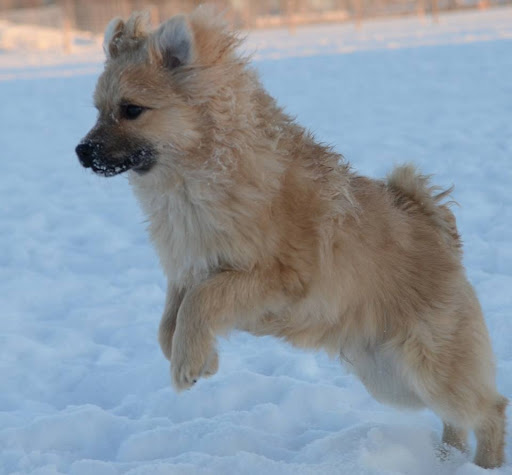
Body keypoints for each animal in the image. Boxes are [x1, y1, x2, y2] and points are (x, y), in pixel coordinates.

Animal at [74, 7, 506, 468]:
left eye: (131, 110)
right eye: (98, 110)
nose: (81, 151)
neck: (197, 177)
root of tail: (434, 225)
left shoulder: (275, 280)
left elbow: (201, 303)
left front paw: (188, 363)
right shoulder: (189, 270)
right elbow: (168, 324)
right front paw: (203, 358)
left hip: (429, 364)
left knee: (489, 408)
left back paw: (484, 466)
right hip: (389, 376)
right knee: (456, 418)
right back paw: (446, 458)